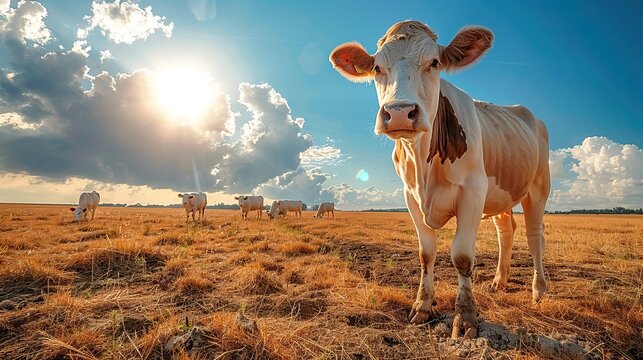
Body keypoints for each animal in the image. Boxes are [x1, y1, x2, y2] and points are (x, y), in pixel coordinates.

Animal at [330, 21, 552, 338]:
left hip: (538, 188)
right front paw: (422, 306)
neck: (423, 162)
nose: (399, 112)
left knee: (535, 236)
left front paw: (466, 319)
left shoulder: (473, 192)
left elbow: (462, 256)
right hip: (502, 192)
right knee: (506, 230)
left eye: (434, 63)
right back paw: (499, 281)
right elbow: (426, 252)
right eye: (376, 67)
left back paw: (538, 291)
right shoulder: (410, 196)